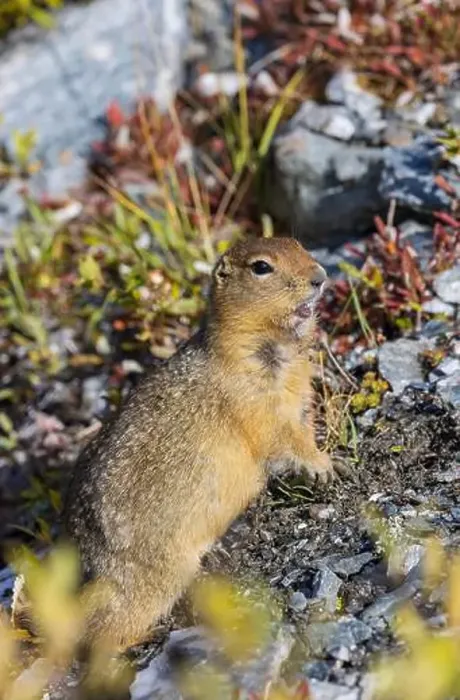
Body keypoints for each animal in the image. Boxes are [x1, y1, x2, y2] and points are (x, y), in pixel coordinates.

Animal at [51, 236, 332, 653]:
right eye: (261, 267)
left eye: (298, 244)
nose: (320, 276)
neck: (270, 342)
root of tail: (92, 566)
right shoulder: (252, 399)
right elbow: (280, 436)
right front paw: (324, 464)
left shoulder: (297, 394)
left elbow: (302, 425)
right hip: (154, 576)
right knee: (105, 633)